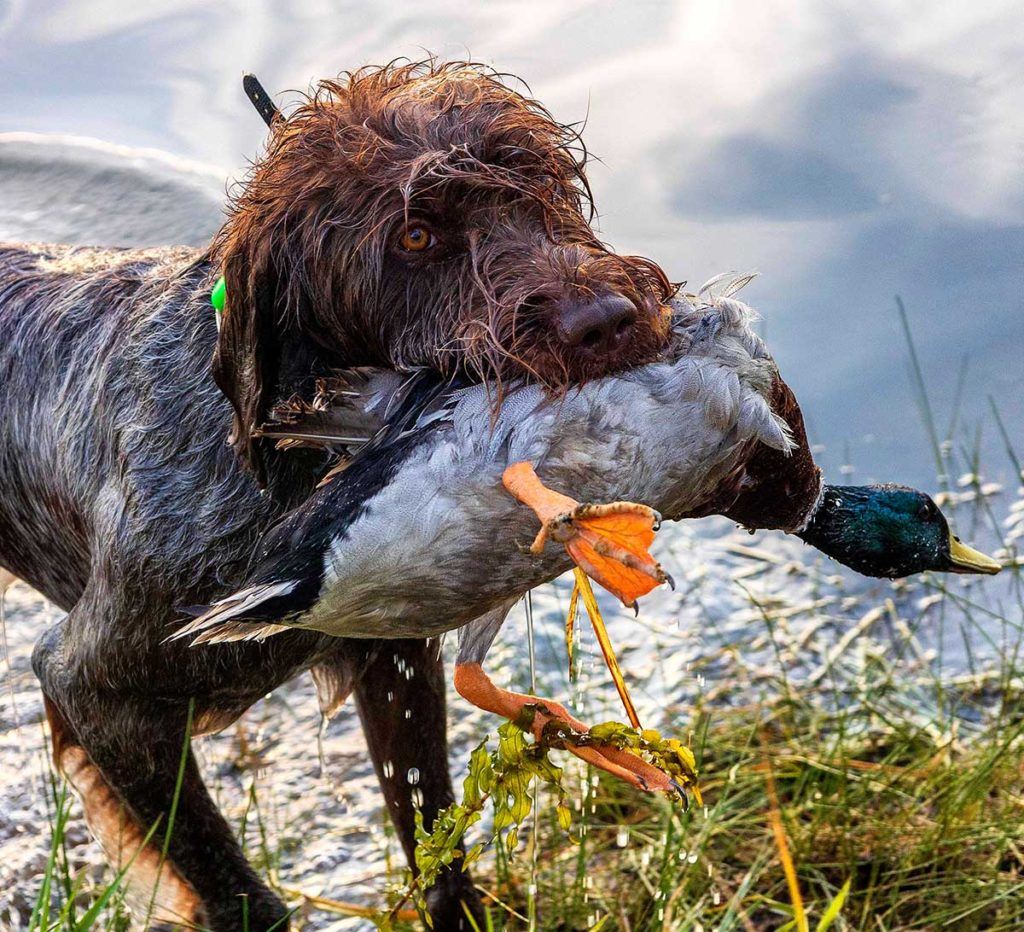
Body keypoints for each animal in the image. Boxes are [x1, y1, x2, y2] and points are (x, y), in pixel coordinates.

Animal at [0, 61, 671, 929]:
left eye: (539, 187)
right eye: (414, 237)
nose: (608, 320)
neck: (291, 466)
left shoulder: (393, 658)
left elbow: (432, 836)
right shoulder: (94, 690)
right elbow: (233, 886)